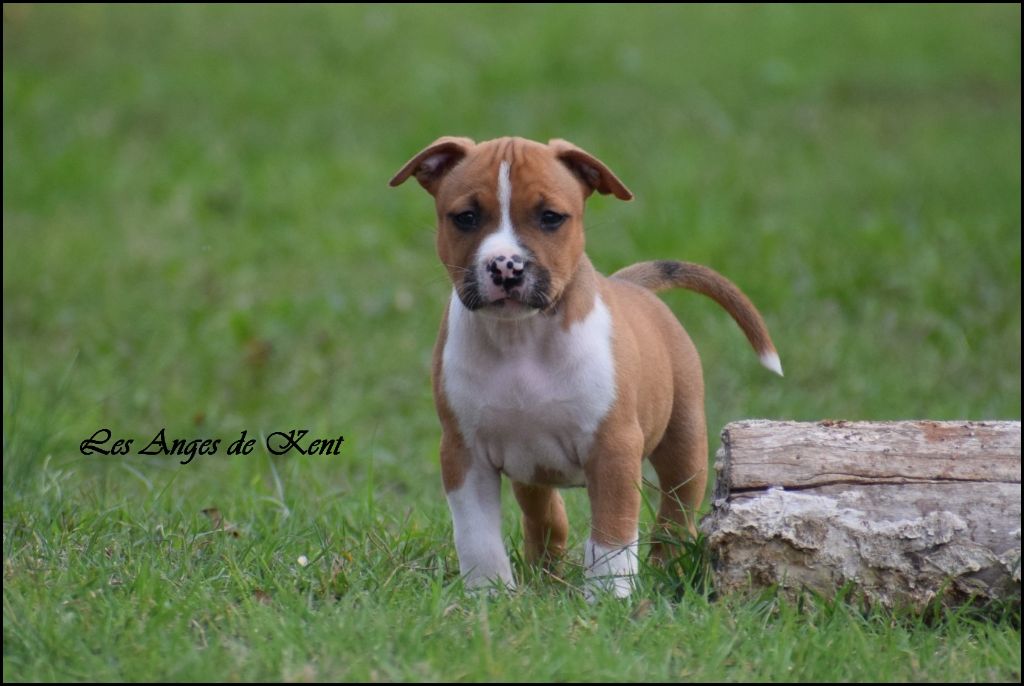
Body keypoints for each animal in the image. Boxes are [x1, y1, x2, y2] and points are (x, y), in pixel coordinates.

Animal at [387, 137, 778, 597]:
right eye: (466, 217)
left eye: (550, 218)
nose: (506, 266)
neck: (520, 338)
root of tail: (630, 285)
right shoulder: (464, 453)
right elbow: (477, 535)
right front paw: (489, 595)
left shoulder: (614, 448)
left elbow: (611, 532)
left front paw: (608, 597)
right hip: (530, 467)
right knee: (546, 515)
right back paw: (545, 572)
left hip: (683, 444)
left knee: (675, 514)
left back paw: (667, 568)